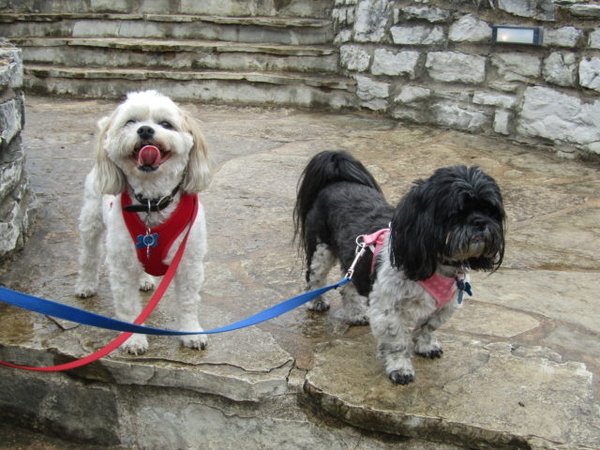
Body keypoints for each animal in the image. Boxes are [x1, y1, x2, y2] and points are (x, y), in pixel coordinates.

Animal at [74, 90, 212, 356]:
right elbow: (128, 307)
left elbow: (188, 302)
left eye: (166, 124)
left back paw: (145, 280)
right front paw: (133, 339)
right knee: (89, 256)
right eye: (130, 122)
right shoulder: (121, 267)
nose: (145, 130)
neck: (152, 202)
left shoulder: (188, 263)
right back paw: (85, 284)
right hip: (91, 219)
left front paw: (191, 332)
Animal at [292, 151, 504, 384]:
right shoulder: (388, 309)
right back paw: (316, 302)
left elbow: (428, 326)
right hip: (321, 251)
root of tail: (336, 181)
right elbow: (396, 342)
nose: (480, 222)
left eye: (490, 210)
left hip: (354, 258)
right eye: (456, 212)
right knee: (315, 278)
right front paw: (400, 368)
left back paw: (355, 312)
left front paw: (426, 346)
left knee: (348, 284)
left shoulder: (446, 305)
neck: (436, 263)